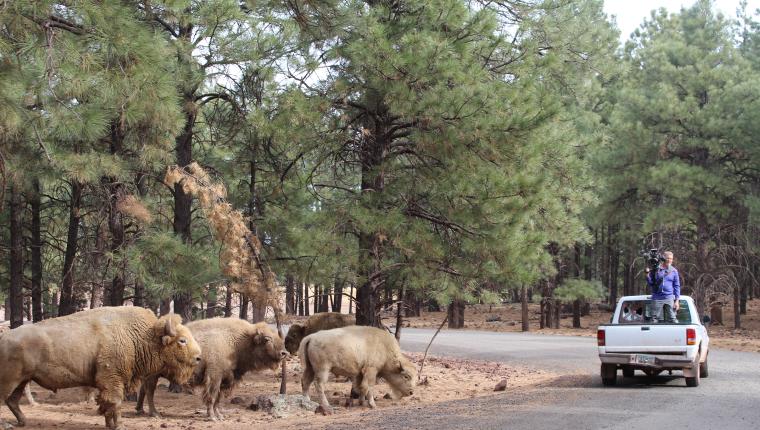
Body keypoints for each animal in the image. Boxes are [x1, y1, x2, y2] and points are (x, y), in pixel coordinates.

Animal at [0, 308, 200, 428]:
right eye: (182, 340)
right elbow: (115, 402)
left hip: (22, 381)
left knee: (12, 401)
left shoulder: (110, 383)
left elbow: (107, 404)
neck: (141, 335)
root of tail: (3, 337)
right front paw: (119, 425)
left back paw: (23, 422)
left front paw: (110, 424)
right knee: (6, 399)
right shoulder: (112, 379)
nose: (198, 357)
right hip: (10, 381)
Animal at [137, 316, 288, 420]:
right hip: (153, 376)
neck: (237, 342)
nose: (284, 353)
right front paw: (212, 417)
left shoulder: (225, 379)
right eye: (267, 339)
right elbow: (212, 396)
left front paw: (219, 415)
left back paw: (140, 410)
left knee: (143, 390)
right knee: (149, 392)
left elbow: (218, 399)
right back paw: (155, 413)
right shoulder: (214, 377)